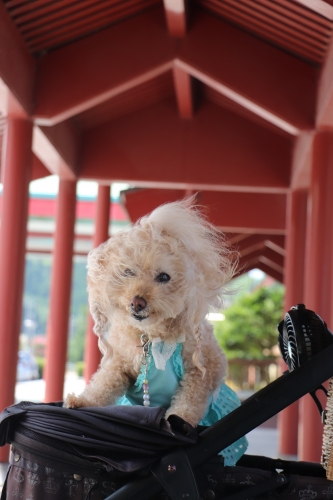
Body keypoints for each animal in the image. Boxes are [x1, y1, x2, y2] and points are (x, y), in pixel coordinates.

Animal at [64, 197, 236, 428]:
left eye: (164, 277)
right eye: (128, 272)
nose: (137, 303)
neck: (151, 336)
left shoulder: (202, 369)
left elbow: (189, 401)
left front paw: (178, 422)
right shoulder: (119, 363)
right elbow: (102, 385)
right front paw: (81, 400)